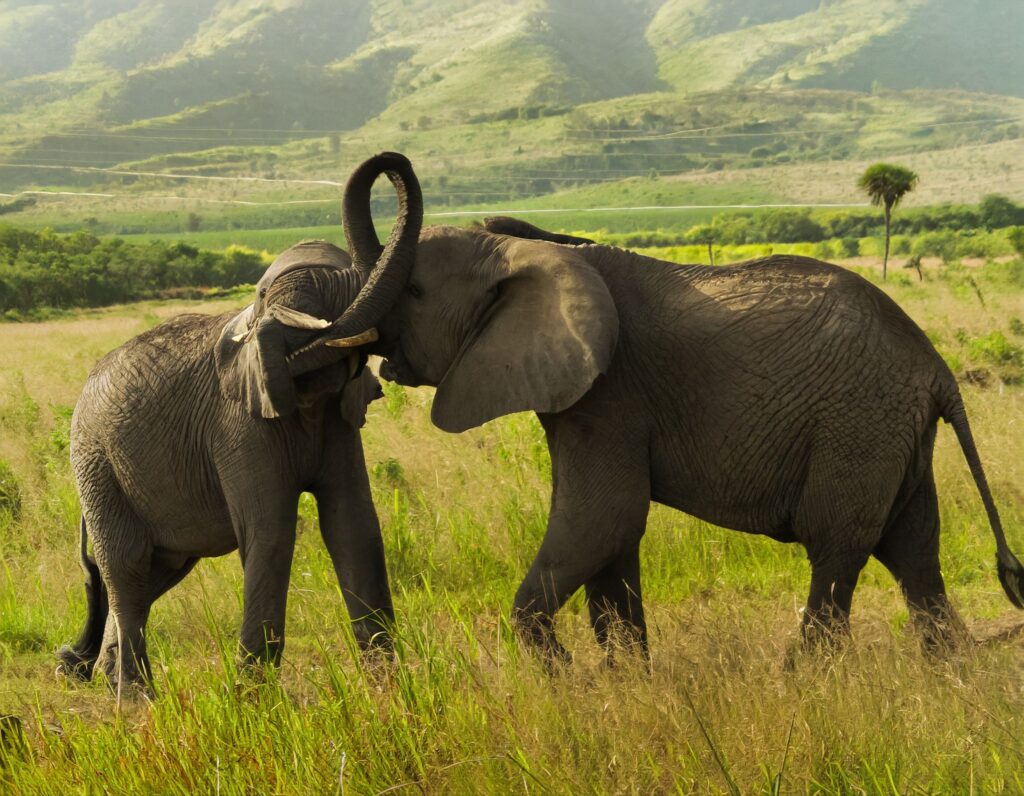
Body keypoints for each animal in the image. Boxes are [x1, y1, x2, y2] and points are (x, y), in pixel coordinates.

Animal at [57, 153, 422, 689]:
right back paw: (135, 699)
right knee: (125, 570)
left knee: (153, 575)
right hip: (95, 462)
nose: (390, 161)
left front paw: (393, 690)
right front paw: (254, 698)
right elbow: (270, 533)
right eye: (263, 292)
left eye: (343, 289)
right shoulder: (237, 429)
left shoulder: (337, 421)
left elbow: (353, 526)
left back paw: (104, 681)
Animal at [334, 160, 1024, 664]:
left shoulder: (611, 394)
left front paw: (557, 674)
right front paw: (625, 681)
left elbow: (603, 516)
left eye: (415, 291)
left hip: (857, 428)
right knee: (914, 551)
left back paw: (801, 681)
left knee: (836, 548)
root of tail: (937, 367)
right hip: (894, 434)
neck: (518, 250)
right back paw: (947, 673)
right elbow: (611, 538)